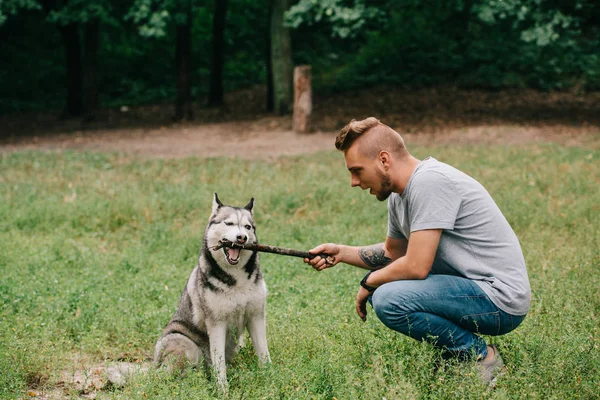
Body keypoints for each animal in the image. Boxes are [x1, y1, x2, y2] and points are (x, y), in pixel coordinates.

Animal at [154, 193, 270, 390]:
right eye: (229, 223)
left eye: (248, 227)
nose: (242, 237)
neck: (236, 279)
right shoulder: (217, 323)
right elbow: (219, 364)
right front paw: (223, 391)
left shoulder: (256, 316)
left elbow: (264, 354)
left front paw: (274, 378)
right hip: (186, 345)